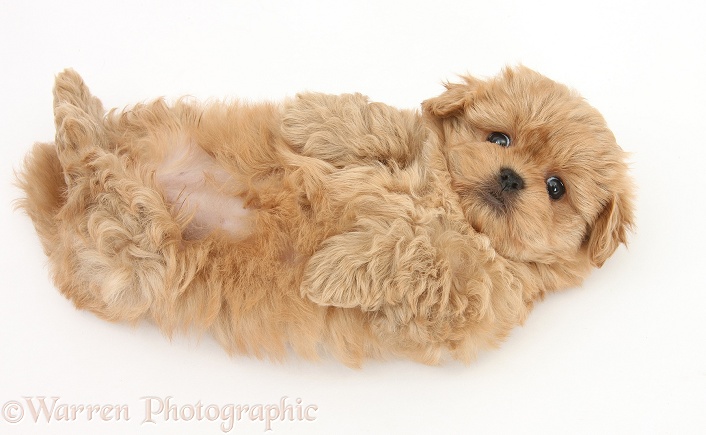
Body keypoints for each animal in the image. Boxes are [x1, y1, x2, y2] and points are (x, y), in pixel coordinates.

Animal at [16, 67, 632, 368]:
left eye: (556, 188)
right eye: (498, 138)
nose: (511, 177)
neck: (454, 206)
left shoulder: (470, 294)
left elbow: (416, 250)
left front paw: (330, 269)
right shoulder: (415, 146)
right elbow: (385, 124)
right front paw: (308, 118)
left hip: (132, 262)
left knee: (104, 187)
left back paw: (77, 125)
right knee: (89, 154)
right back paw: (75, 102)